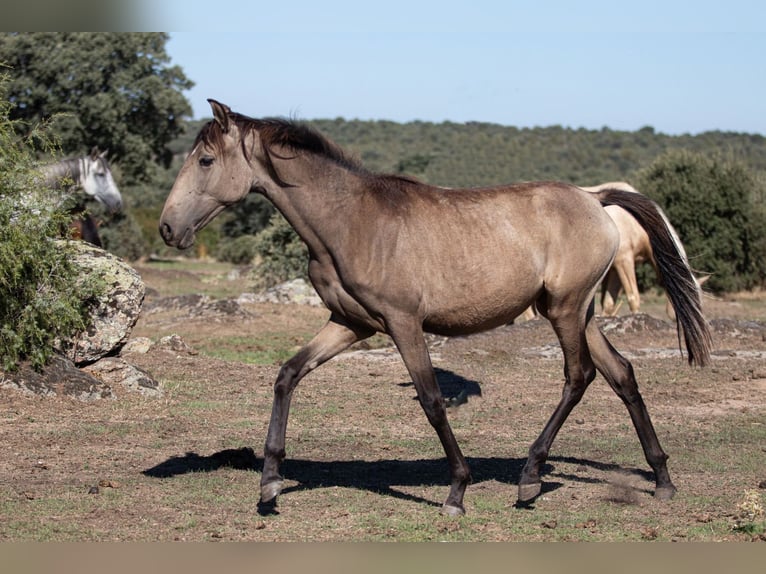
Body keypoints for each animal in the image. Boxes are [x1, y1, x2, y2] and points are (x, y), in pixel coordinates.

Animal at [158, 100, 712, 516]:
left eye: (205, 161)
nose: (167, 228)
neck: (352, 221)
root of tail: (595, 199)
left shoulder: (404, 324)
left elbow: (430, 400)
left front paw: (457, 492)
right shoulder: (350, 324)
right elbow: (287, 374)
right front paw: (270, 483)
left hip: (565, 311)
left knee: (579, 378)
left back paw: (530, 478)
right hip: (581, 312)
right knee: (621, 374)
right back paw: (662, 479)